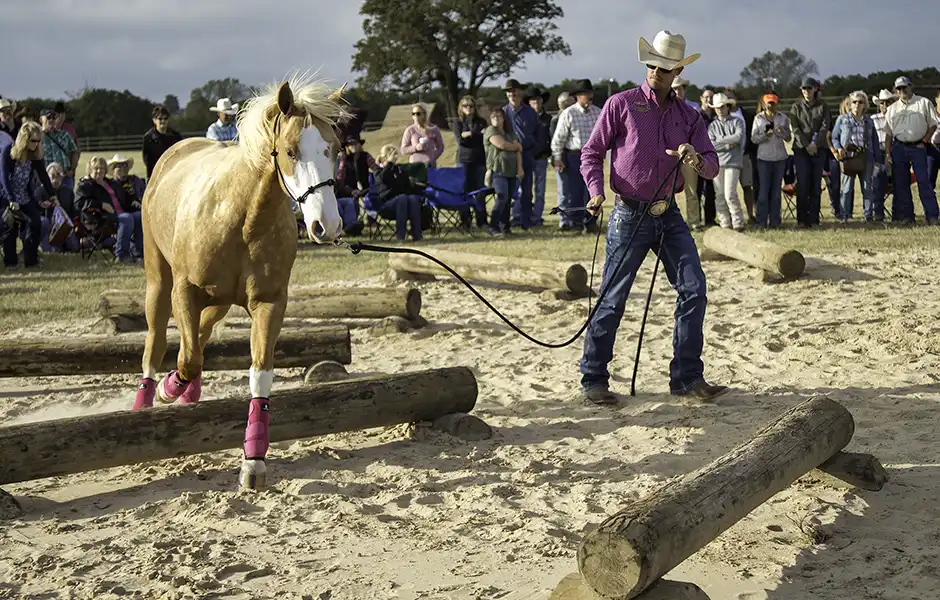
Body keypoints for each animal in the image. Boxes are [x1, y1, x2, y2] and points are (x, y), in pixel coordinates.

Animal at [132, 72, 350, 490]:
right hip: (159, 282)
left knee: (201, 332)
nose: (326, 225)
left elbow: (258, 374)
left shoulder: (269, 302)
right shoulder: (185, 290)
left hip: (218, 302)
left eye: (334, 150)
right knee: (157, 342)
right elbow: (187, 359)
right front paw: (170, 389)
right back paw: (149, 399)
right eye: (291, 151)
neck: (242, 217)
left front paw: (254, 461)